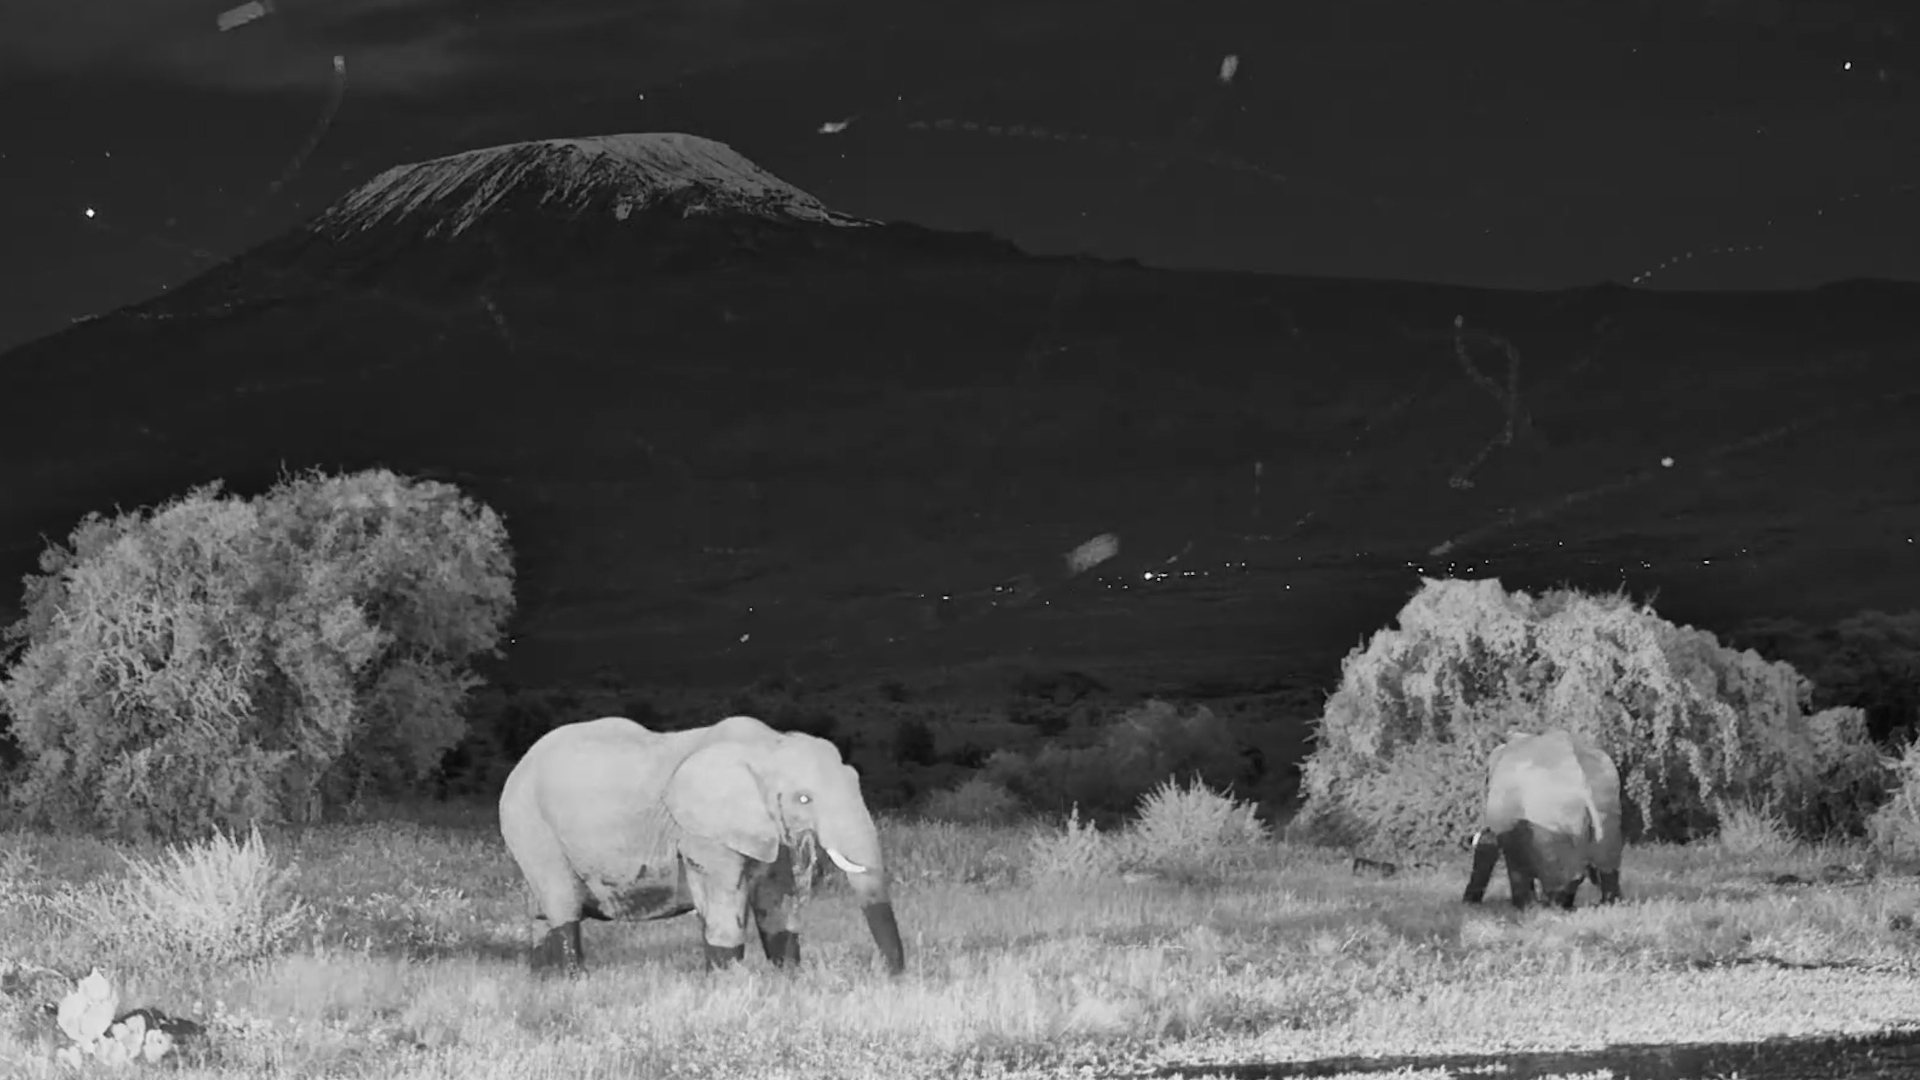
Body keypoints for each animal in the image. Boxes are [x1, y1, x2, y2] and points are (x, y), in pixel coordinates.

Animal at [498, 714, 905, 976]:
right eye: (804, 799)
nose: (890, 975)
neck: (768, 745)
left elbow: (776, 896)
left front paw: (788, 979)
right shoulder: (702, 830)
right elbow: (723, 897)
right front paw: (726, 985)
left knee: (541, 912)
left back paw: (542, 980)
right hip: (528, 822)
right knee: (561, 902)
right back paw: (575, 979)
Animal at [1462, 728, 1624, 910]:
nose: (1468, 902)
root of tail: (1583, 784)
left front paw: (1524, 907)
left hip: (1551, 815)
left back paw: (1551, 905)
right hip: (1607, 803)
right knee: (1607, 863)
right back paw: (1607, 902)